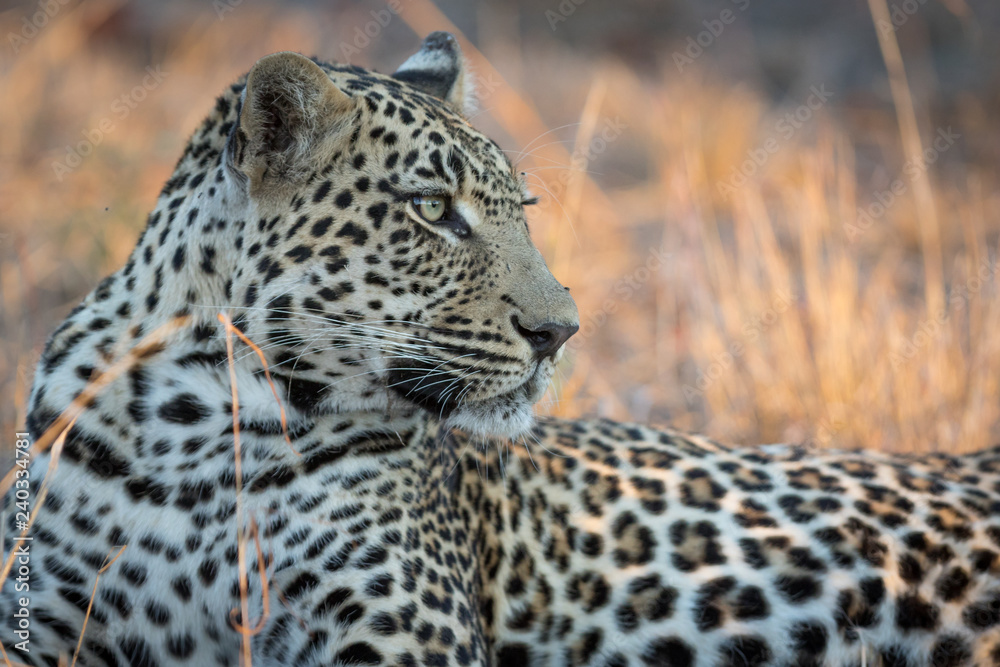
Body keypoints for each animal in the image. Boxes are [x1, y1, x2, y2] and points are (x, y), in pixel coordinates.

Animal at [5, 30, 1000, 667]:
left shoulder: (405, 637)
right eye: (431, 209)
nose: (561, 330)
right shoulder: (44, 623)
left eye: (521, 209)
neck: (194, 423)